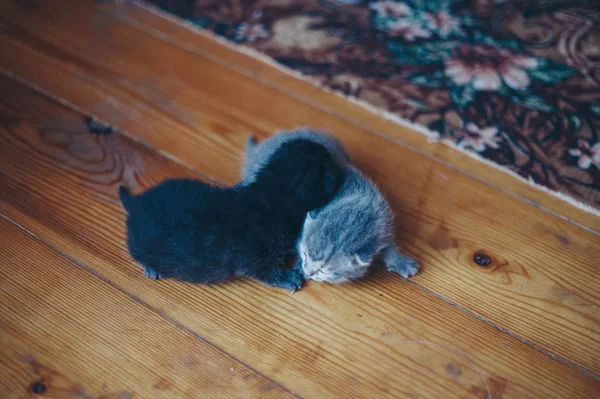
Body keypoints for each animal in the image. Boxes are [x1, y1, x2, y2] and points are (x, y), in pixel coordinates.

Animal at [119, 139, 342, 292]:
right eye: (329, 159)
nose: (327, 148)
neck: (271, 196)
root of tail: (136, 202)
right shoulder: (257, 254)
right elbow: (266, 271)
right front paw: (288, 277)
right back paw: (151, 268)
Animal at [241, 129, 420, 284]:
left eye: (325, 270)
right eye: (305, 255)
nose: (308, 272)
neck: (358, 209)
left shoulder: (383, 222)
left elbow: (388, 244)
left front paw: (400, 261)